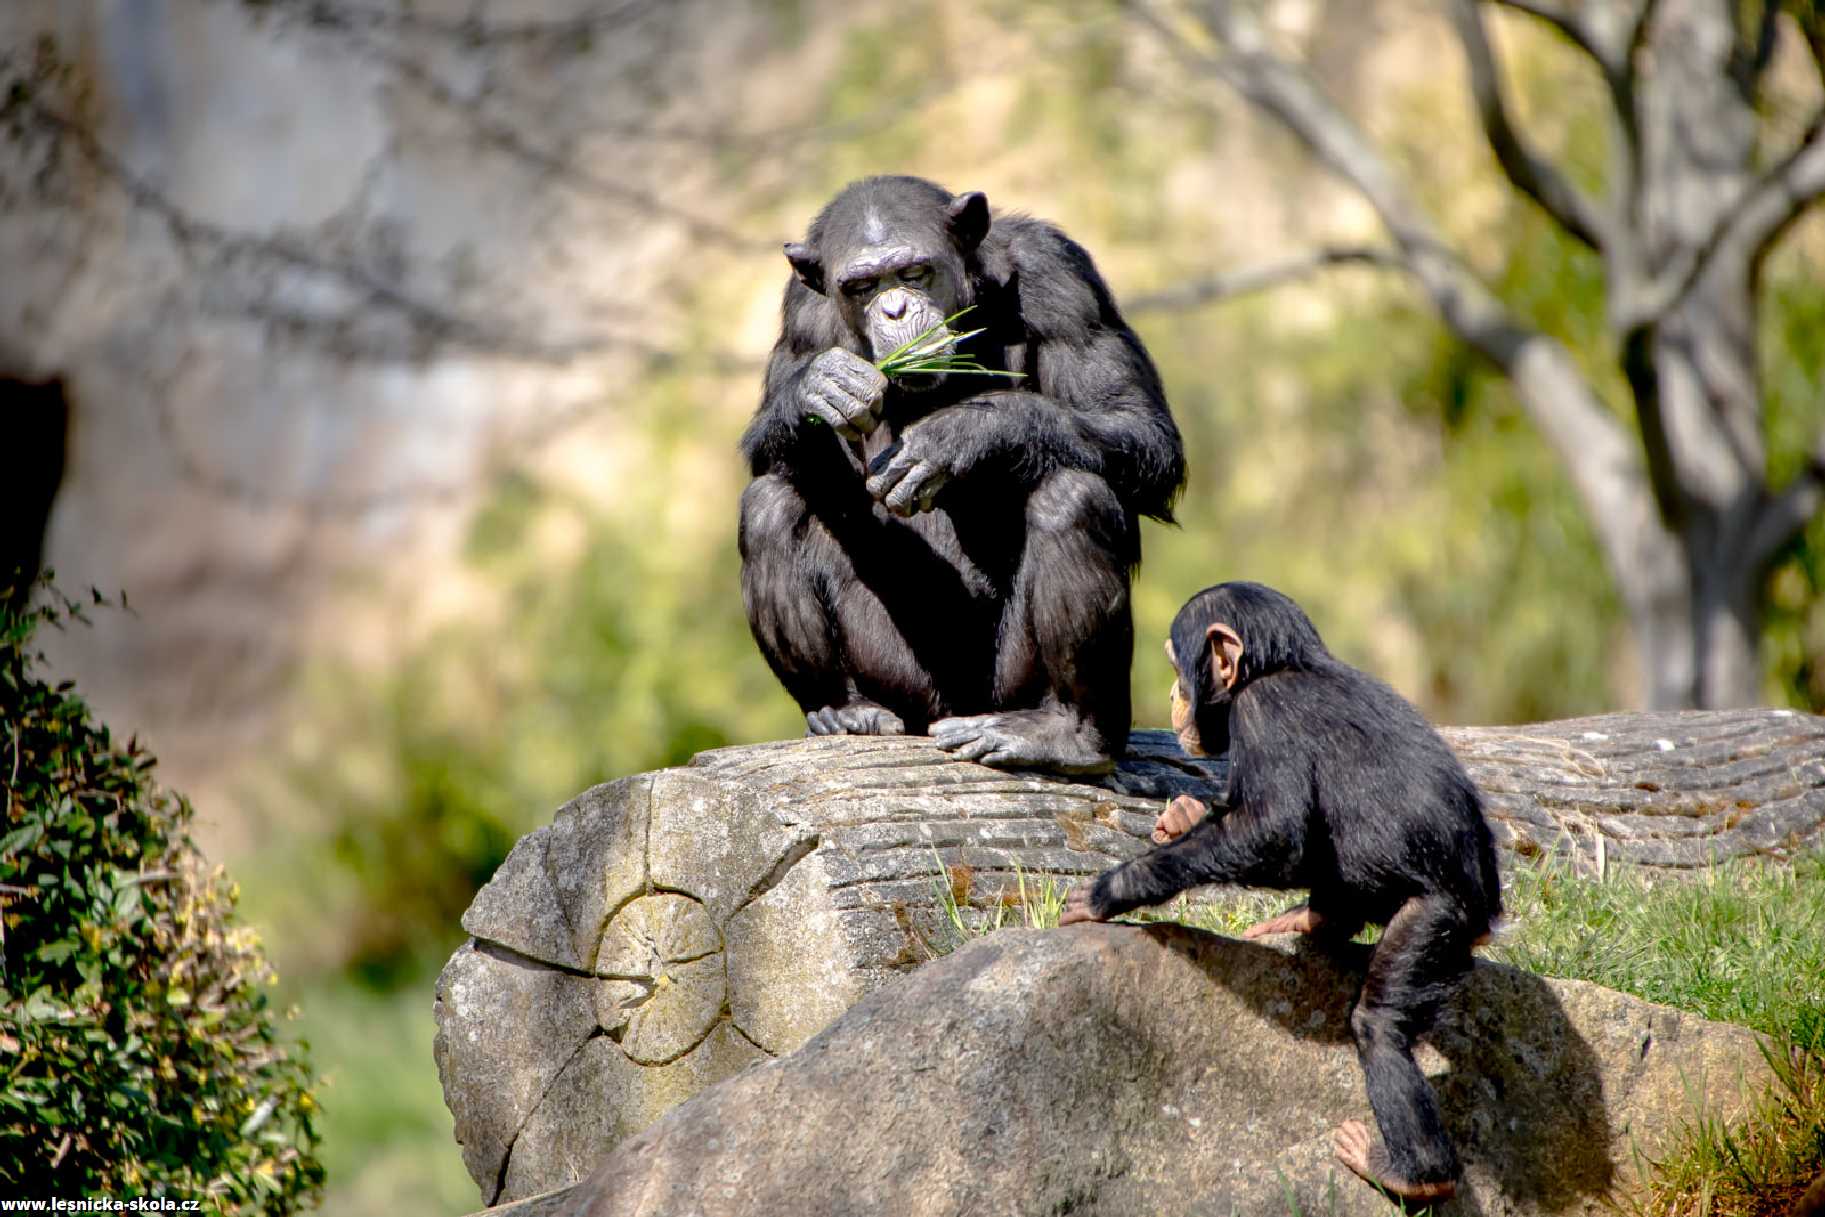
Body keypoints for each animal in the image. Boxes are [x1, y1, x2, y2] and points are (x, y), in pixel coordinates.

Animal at [737, 176, 1182, 777]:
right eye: (861, 286)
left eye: (913, 272)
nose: (895, 309)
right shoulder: (801, 311)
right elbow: (772, 455)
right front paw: (819, 384)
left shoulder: (1061, 277)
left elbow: (1139, 427)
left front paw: (962, 434)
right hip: (900, 679)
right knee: (769, 504)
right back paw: (843, 708)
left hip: (1007, 686)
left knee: (1073, 495)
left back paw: (1070, 736)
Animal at [1058, 583, 1496, 1211]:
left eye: (1176, 666)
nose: (1172, 694)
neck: (1280, 666)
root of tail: (1488, 912)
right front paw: (1184, 815)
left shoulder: (1263, 714)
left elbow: (1275, 832)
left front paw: (1109, 890)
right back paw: (1314, 918)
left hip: (1436, 920)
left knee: (1380, 1023)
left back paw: (1413, 1173)